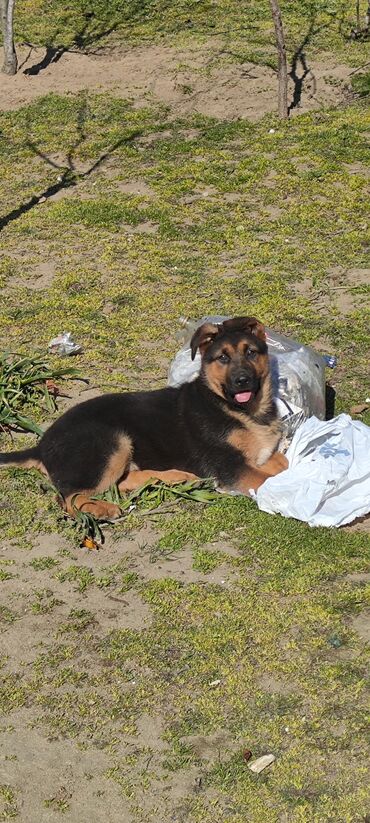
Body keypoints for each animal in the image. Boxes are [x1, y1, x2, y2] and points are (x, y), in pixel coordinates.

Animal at [0, 318, 288, 520]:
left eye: (251, 353)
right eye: (223, 358)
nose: (242, 380)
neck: (243, 410)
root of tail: (41, 445)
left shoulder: (262, 454)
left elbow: (281, 463)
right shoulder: (230, 466)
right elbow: (264, 480)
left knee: (120, 481)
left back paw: (178, 477)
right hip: (110, 442)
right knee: (67, 498)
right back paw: (102, 509)